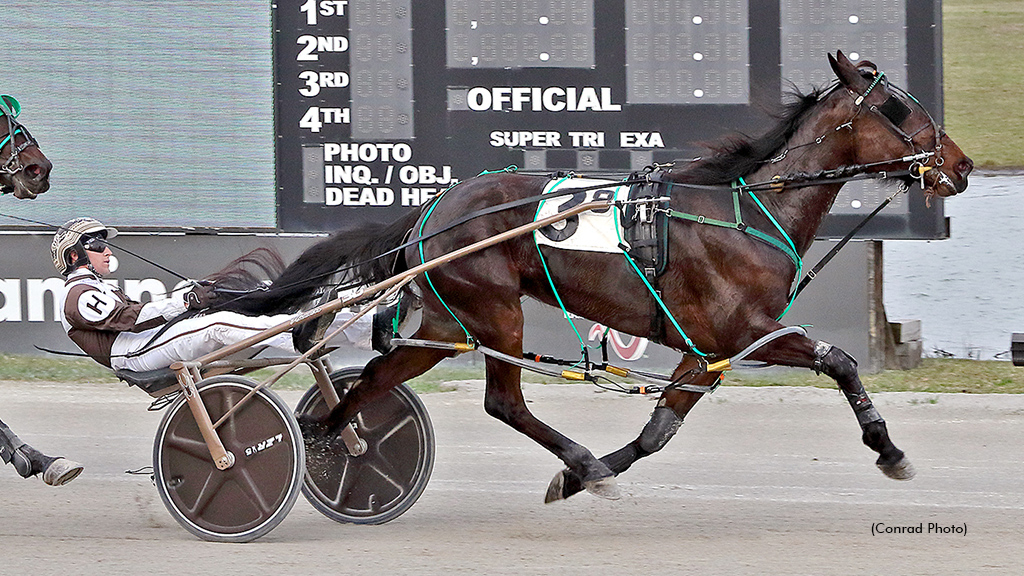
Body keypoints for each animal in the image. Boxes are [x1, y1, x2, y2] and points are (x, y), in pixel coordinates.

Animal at [234, 52, 974, 502]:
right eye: (899, 109)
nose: (961, 165)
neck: (747, 210)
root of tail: (431, 207)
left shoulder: (704, 350)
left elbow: (657, 433)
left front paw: (576, 481)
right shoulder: (745, 331)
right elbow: (841, 359)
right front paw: (888, 450)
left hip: (447, 323)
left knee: (373, 382)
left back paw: (328, 441)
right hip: (495, 311)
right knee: (502, 403)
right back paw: (579, 461)